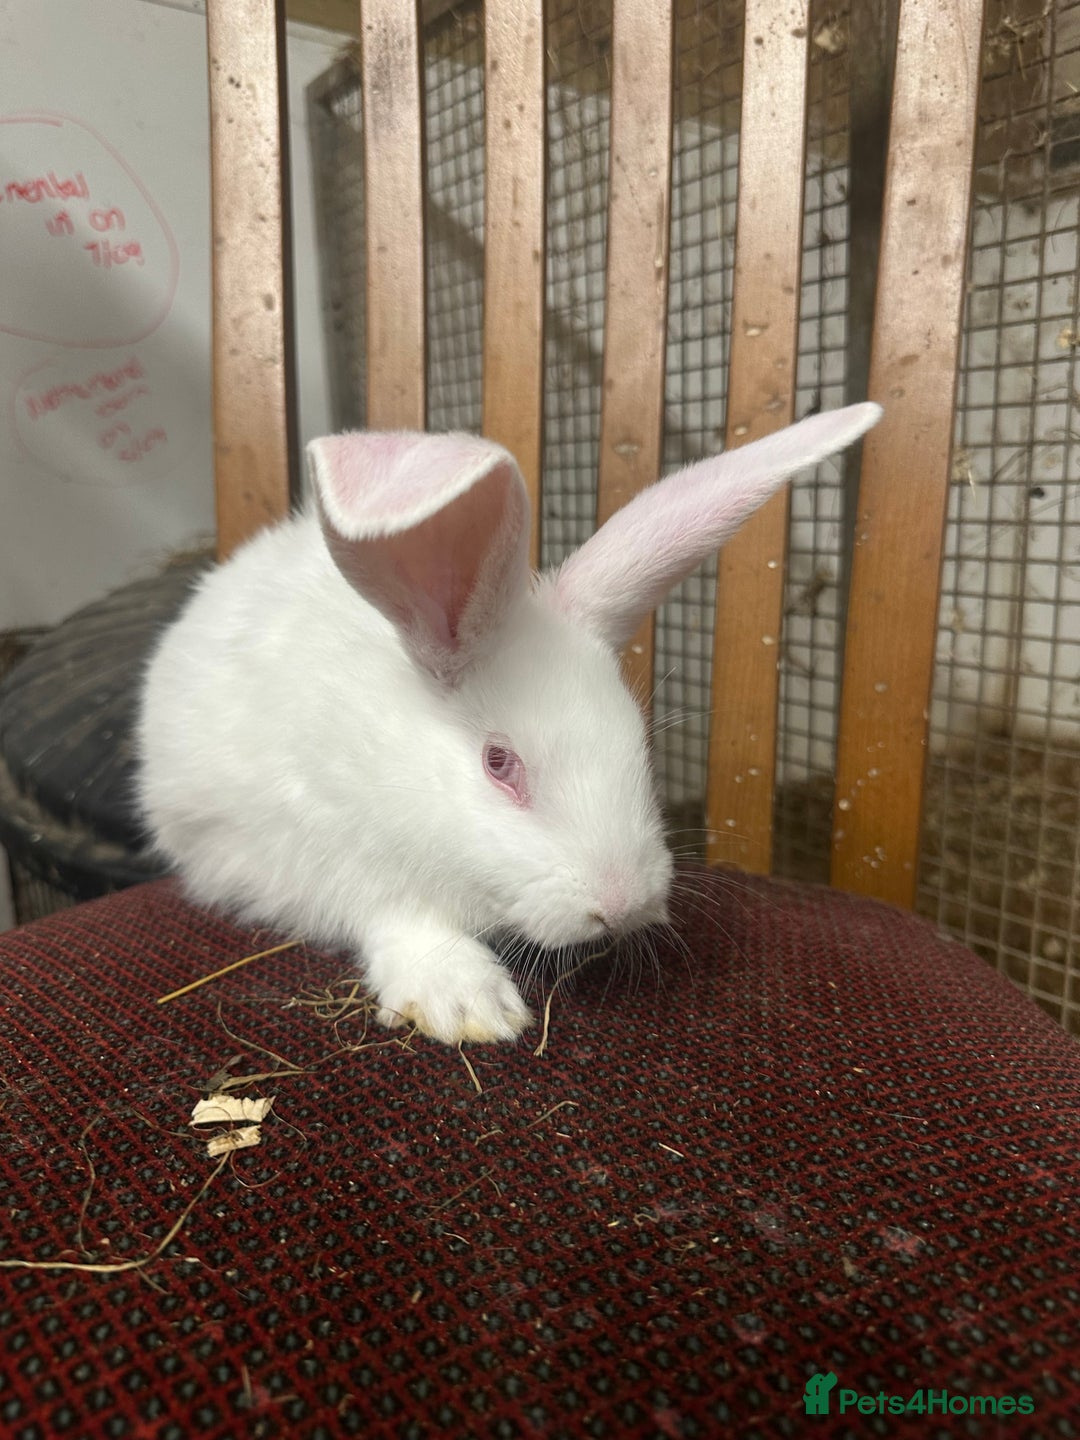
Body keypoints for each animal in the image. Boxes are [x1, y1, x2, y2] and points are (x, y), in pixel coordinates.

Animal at [136, 402, 881, 1045]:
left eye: (638, 744)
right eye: (498, 763)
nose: (620, 904)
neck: (390, 760)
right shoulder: (318, 853)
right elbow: (399, 918)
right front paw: (469, 1007)